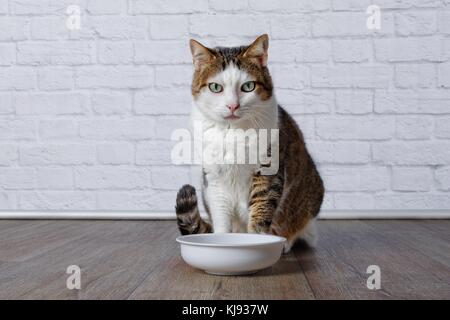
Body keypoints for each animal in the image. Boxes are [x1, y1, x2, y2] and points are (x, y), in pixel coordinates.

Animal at [175, 34, 324, 252]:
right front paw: (219, 242)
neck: (232, 132)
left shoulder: (269, 169)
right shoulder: (214, 178)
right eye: (215, 87)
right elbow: (221, 215)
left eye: (248, 87)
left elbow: (262, 209)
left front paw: (257, 241)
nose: (232, 105)